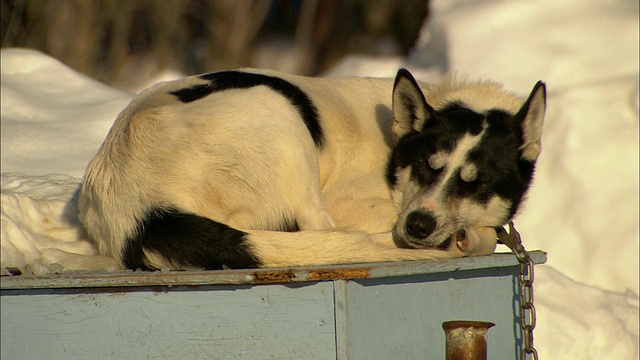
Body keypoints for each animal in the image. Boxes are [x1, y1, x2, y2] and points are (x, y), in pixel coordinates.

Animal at [79, 68, 544, 270]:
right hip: (278, 112)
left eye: (477, 183)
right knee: (326, 232)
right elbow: (484, 234)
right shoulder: (356, 203)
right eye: (426, 167)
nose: (418, 226)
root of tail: (140, 209)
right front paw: (469, 237)